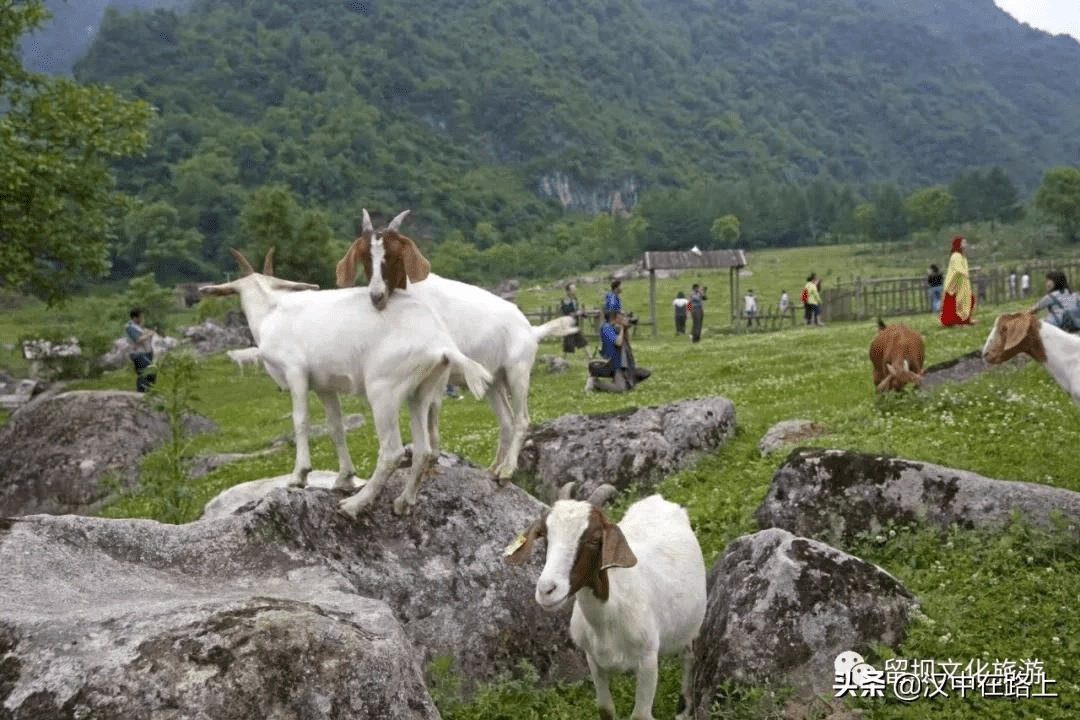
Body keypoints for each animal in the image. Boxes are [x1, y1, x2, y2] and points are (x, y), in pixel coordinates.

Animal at [199, 249, 494, 518]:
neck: (272, 311)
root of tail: (441, 344)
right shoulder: (325, 386)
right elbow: (335, 427)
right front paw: (344, 477)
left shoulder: (296, 373)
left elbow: (300, 420)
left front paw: (299, 476)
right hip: (422, 392)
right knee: (423, 450)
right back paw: (403, 503)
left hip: (383, 390)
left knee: (392, 452)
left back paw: (354, 505)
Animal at [336, 208, 578, 481]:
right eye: (366, 257)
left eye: (395, 255)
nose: (376, 296)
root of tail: (531, 330)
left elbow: (433, 409)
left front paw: (432, 457)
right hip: (493, 380)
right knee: (506, 420)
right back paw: (493, 467)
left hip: (518, 371)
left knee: (521, 420)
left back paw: (506, 470)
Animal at [505, 496, 708, 720]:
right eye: (546, 538)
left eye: (594, 539)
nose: (546, 590)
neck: (608, 617)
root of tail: (658, 500)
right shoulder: (592, 659)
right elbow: (605, 709)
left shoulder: (647, 660)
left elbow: (640, 715)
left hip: (690, 624)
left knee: (689, 655)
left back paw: (684, 709)